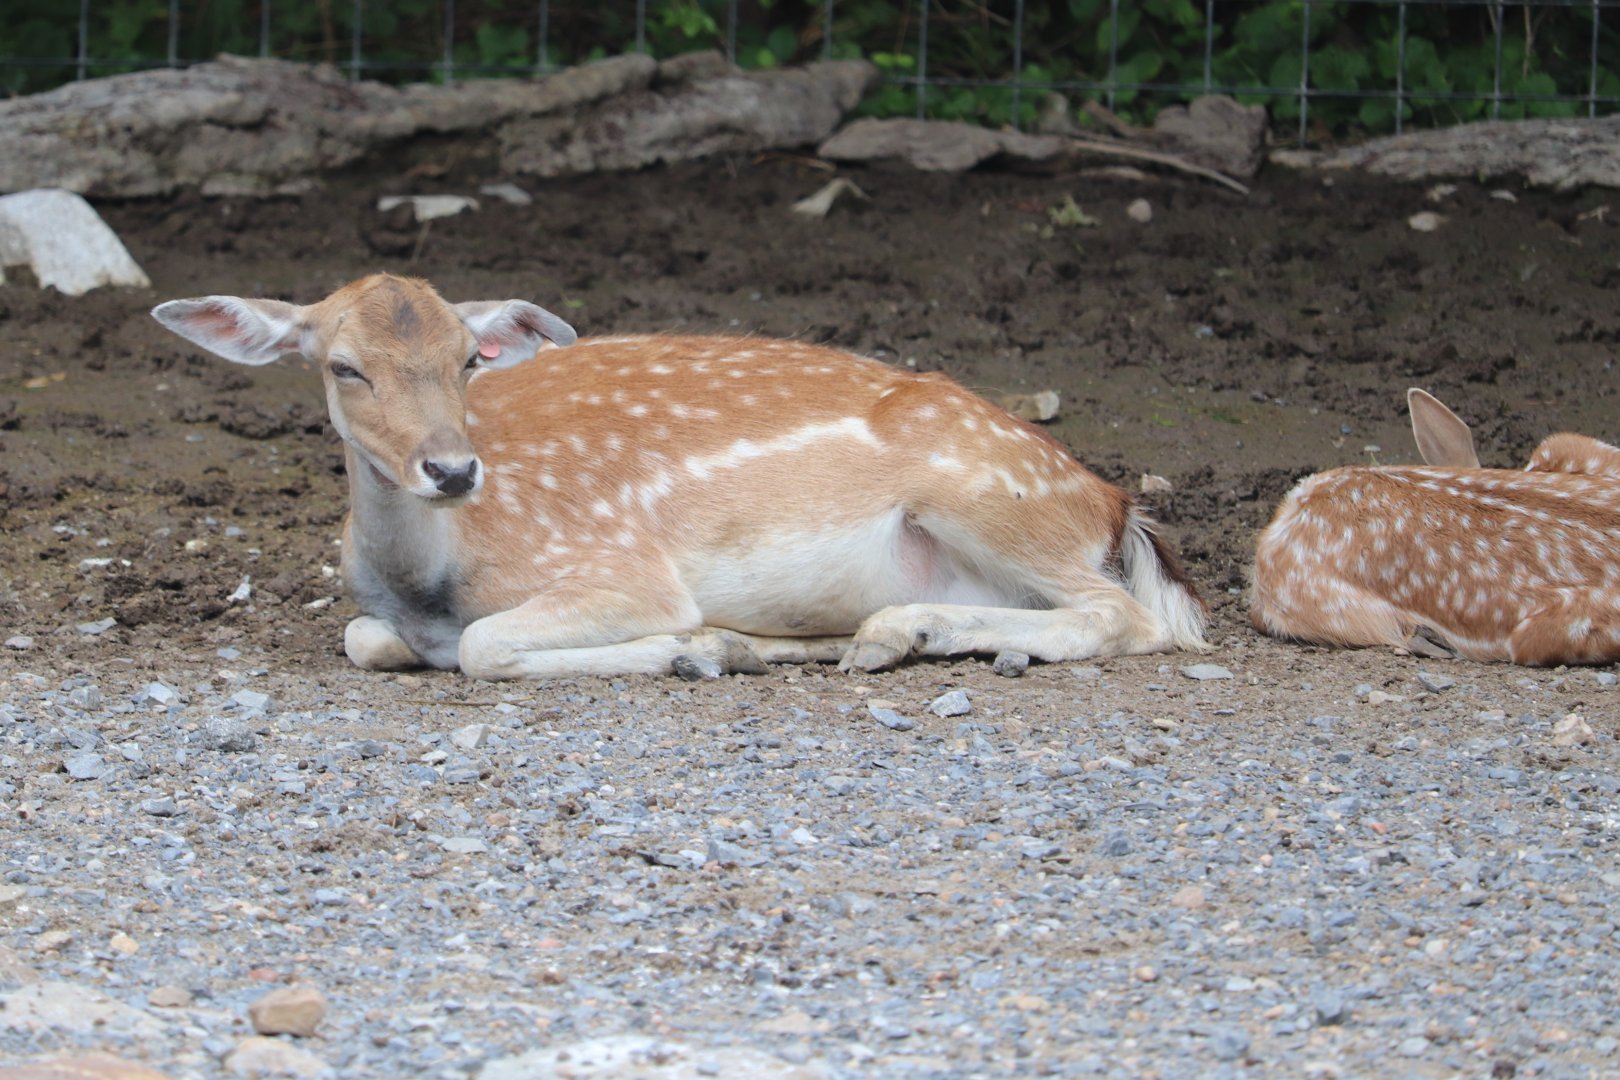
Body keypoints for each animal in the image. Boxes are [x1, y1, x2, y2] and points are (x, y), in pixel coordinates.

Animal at [152, 273, 1207, 680]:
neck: (432, 579)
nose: (452, 468)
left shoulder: (624, 567)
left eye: (466, 358)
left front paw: (689, 648)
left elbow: (488, 645)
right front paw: (719, 646)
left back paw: (871, 635)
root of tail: (1111, 504)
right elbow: (363, 638)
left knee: (1130, 618)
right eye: (344, 366)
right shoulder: (378, 615)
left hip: (985, 494)